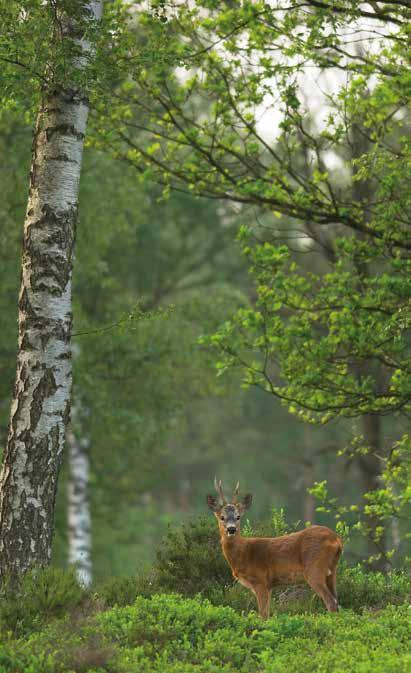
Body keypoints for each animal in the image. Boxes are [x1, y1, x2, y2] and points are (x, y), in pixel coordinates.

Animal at [206, 478, 344, 620]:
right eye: (222, 517)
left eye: (238, 517)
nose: (231, 529)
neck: (244, 553)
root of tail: (336, 539)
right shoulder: (269, 585)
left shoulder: (260, 580)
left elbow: (263, 615)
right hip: (331, 571)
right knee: (336, 601)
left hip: (314, 569)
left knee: (331, 602)